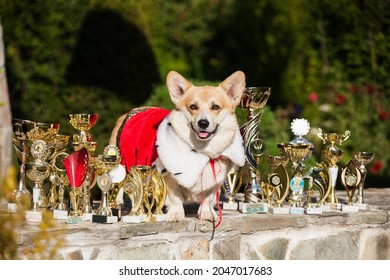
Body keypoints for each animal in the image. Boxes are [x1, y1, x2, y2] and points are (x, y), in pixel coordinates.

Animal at [109, 71, 245, 222]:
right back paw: (118, 202)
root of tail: (129, 112)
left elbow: (207, 199)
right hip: (120, 162)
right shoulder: (168, 178)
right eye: (193, 107)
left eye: (215, 107)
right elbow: (176, 198)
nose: (203, 123)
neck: (201, 151)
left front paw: (206, 214)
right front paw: (175, 214)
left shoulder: (214, 182)